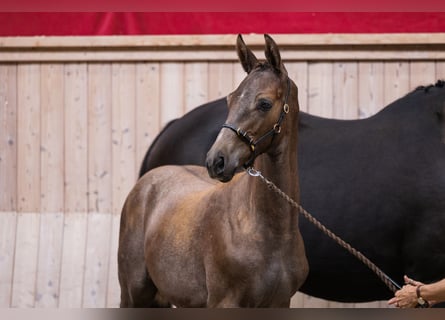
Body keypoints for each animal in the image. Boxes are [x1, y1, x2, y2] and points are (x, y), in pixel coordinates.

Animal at [116, 34, 306, 308]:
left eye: (264, 103)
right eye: (230, 99)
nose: (217, 161)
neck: (270, 231)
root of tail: (146, 180)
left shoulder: (280, 303)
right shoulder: (223, 302)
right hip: (133, 294)